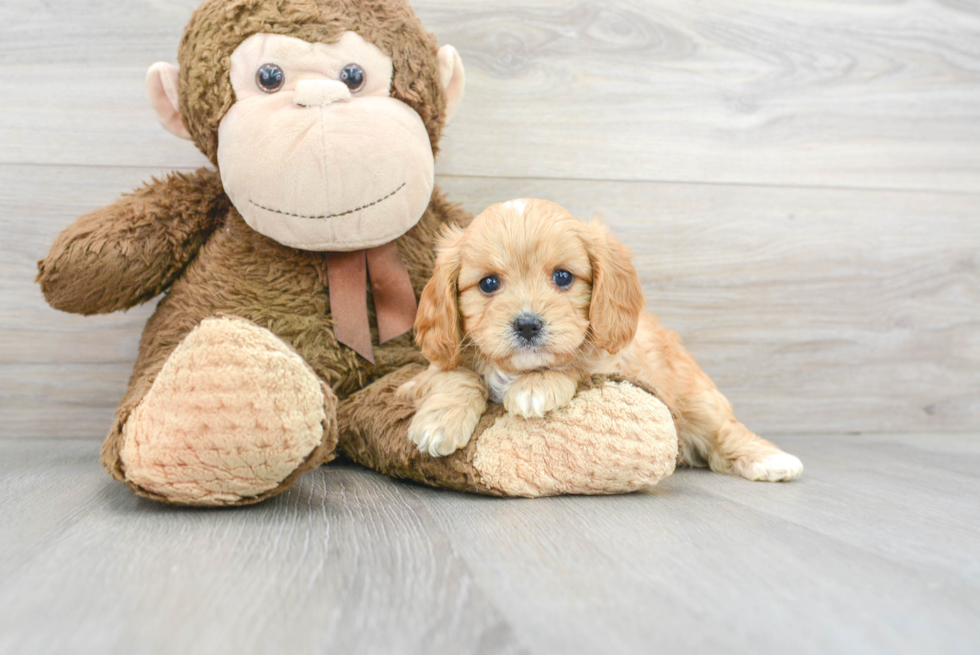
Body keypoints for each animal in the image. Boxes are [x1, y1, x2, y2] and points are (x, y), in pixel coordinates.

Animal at [398, 199, 804, 482]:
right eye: (488, 284)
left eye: (563, 277)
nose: (528, 325)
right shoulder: (420, 377)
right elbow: (455, 374)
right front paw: (439, 422)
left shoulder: (615, 364)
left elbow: (577, 364)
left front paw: (537, 387)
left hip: (696, 399)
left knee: (724, 431)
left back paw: (772, 460)